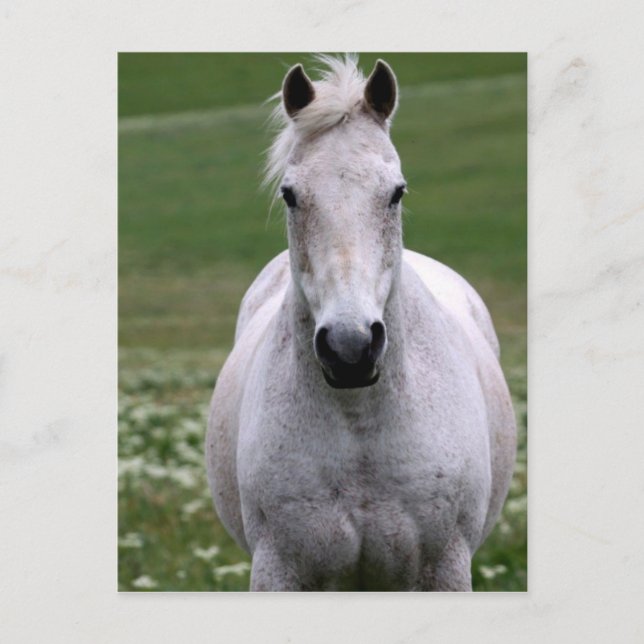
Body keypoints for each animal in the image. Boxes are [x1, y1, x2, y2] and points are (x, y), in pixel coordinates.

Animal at [206, 55, 516, 591]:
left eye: (396, 192)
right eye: (290, 195)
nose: (349, 348)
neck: (360, 426)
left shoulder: (446, 568)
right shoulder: (278, 569)